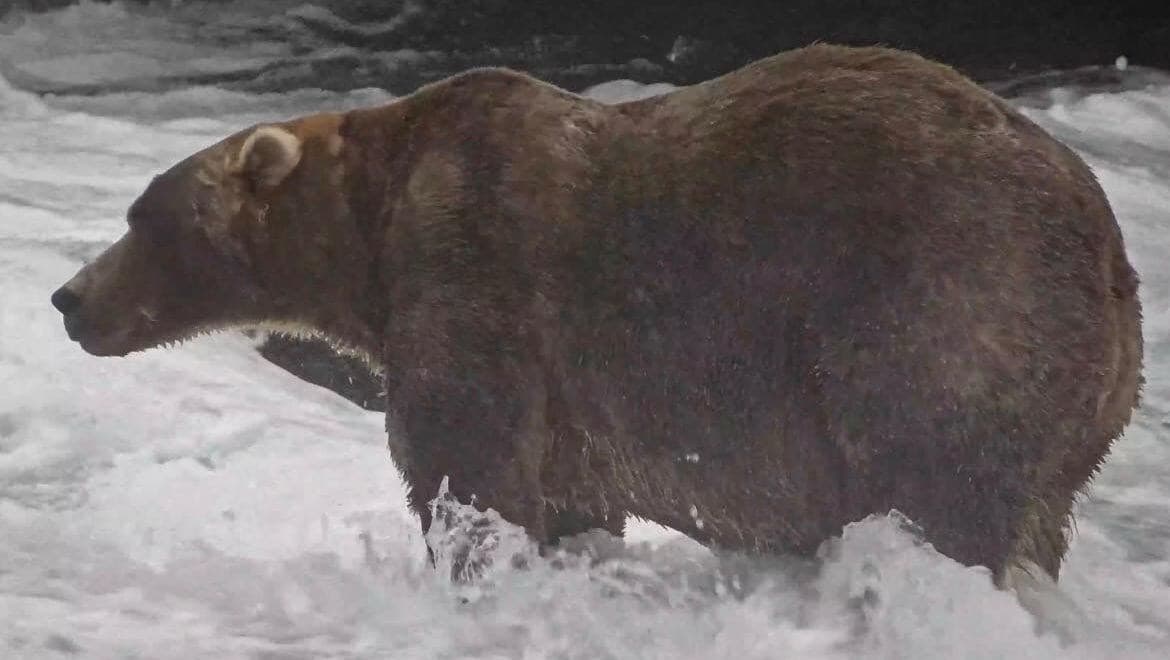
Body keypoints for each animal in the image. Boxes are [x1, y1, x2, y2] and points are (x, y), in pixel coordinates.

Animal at [51, 44, 1142, 584]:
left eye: (141, 216)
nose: (69, 298)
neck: (369, 235)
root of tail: (1110, 246)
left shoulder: (476, 273)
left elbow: (465, 464)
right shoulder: (571, 400)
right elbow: (569, 495)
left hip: (941, 305)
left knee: (938, 481)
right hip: (1083, 406)